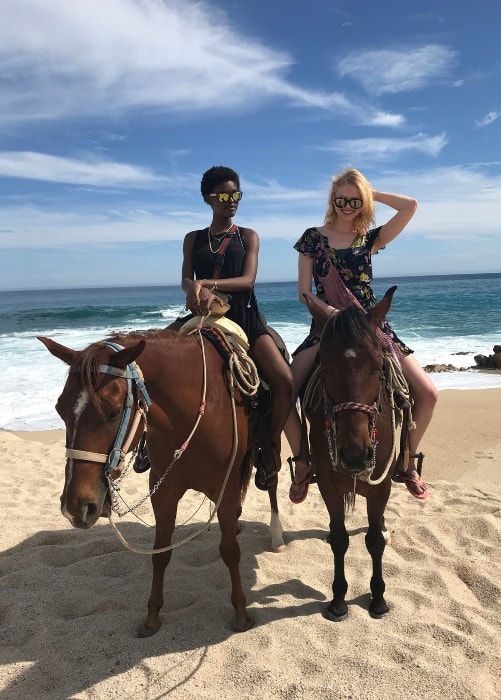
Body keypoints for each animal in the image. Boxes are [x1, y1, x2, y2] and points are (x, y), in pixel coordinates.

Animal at [37, 328, 262, 636]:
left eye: (113, 412)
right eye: (60, 409)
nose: (76, 507)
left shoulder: (225, 489)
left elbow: (229, 550)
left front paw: (240, 613)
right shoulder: (163, 490)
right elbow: (160, 553)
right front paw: (152, 615)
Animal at [304, 288, 402, 620]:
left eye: (377, 365)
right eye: (326, 368)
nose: (356, 456)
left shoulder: (380, 487)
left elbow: (374, 540)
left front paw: (378, 598)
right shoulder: (328, 486)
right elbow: (340, 539)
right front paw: (338, 599)